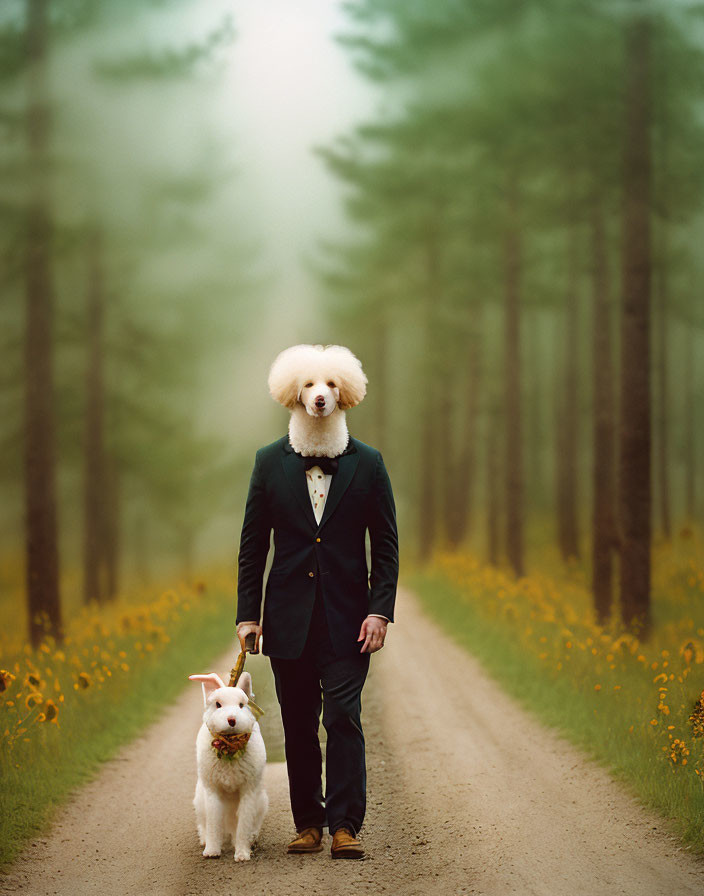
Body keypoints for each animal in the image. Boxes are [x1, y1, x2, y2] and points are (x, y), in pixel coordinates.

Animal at [188, 672, 268, 860]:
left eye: (241, 705)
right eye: (218, 704)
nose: (232, 719)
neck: (229, 746)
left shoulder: (248, 791)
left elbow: (244, 823)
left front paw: (242, 854)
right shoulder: (213, 792)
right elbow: (213, 824)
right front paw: (211, 852)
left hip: (261, 801)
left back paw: (252, 840)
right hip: (200, 801)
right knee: (204, 825)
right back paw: (205, 841)